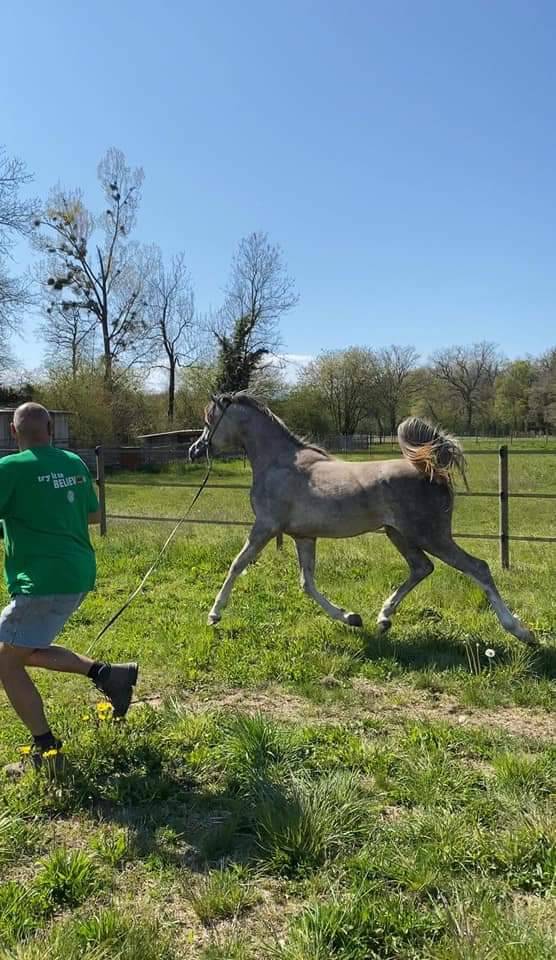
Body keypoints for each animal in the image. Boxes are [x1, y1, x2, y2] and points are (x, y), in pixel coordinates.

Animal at [188, 393, 535, 645]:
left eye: (209, 419)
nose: (194, 450)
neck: (278, 464)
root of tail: (431, 470)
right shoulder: (303, 536)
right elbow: (307, 583)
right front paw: (352, 618)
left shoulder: (265, 527)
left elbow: (237, 565)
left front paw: (213, 615)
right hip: (399, 534)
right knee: (422, 568)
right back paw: (383, 619)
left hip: (431, 536)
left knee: (478, 568)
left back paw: (522, 632)